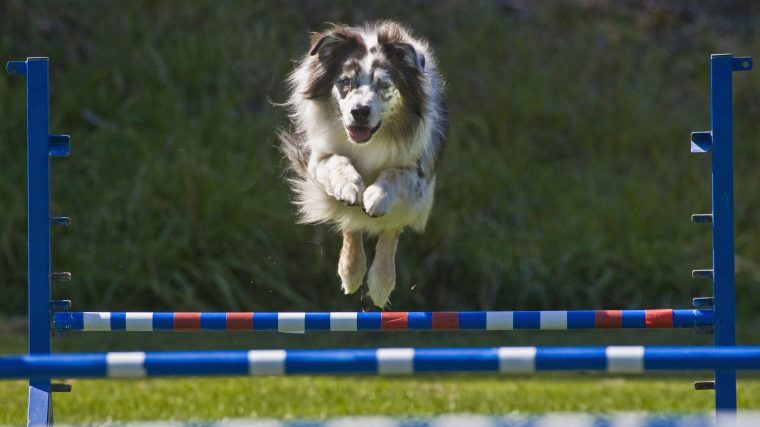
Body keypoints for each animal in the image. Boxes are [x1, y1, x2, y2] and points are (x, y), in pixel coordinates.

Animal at [278, 20, 446, 308]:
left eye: (385, 85)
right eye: (345, 82)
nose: (359, 112)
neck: (368, 143)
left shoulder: (419, 172)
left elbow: (392, 175)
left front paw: (376, 196)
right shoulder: (318, 158)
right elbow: (337, 161)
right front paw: (349, 186)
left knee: (390, 228)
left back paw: (380, 284)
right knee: (352, 222)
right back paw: (352, 272)